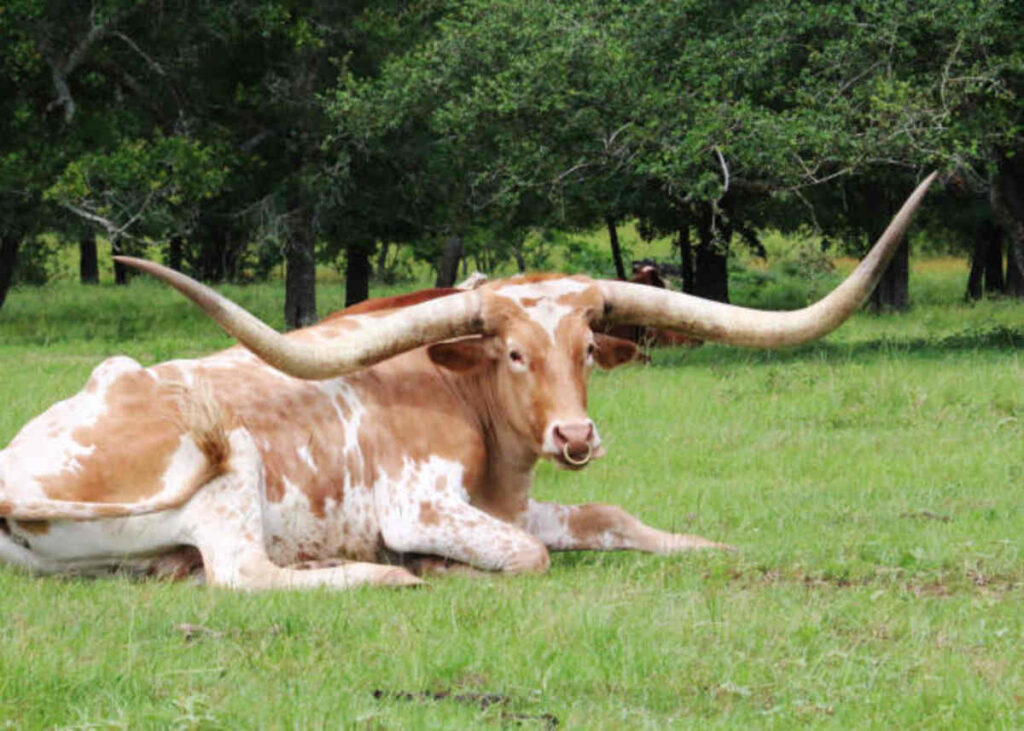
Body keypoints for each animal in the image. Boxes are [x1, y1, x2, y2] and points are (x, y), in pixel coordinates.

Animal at [0, 175, 935, 591]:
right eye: (513, 352)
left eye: (587, 348)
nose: (575, 435)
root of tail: (13, 476)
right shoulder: (422, 504)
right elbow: (528, 555)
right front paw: (423, 561)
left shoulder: (518, 501)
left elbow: (607, 514)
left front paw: (711, 548)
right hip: (229, 465)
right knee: (243, 571)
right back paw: (382, 575)